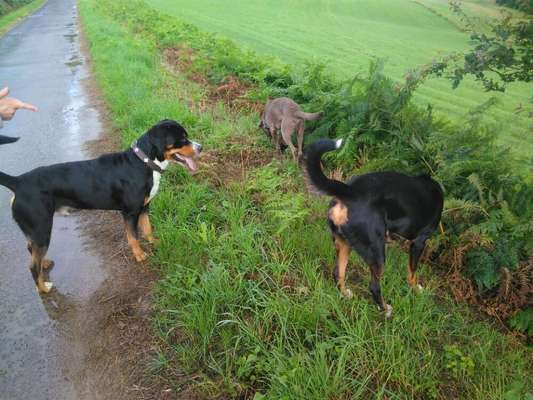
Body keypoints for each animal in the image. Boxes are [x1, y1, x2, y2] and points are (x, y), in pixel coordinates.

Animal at [0, 120, 202, 292]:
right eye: (181, 140)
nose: (201, 147)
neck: (143, 162)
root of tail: (18, 182)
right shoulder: (130, 212)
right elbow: (133, 237)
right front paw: (139, 255)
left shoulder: (144, 208)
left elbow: (147, 229)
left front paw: (155, 242)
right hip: (42, 229)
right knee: (32, 266)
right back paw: (43, 288)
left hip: (35, 230)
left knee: (31, 250)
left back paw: (44, 263)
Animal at [306, 139, 442, 318]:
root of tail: (350, 191)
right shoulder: (419, 242)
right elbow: (412, 273)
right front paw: (416, 290)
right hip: (377, 253)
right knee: (374, 287)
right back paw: (385, 309)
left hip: (344, 243)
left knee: (338, 274)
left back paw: (345, 294)